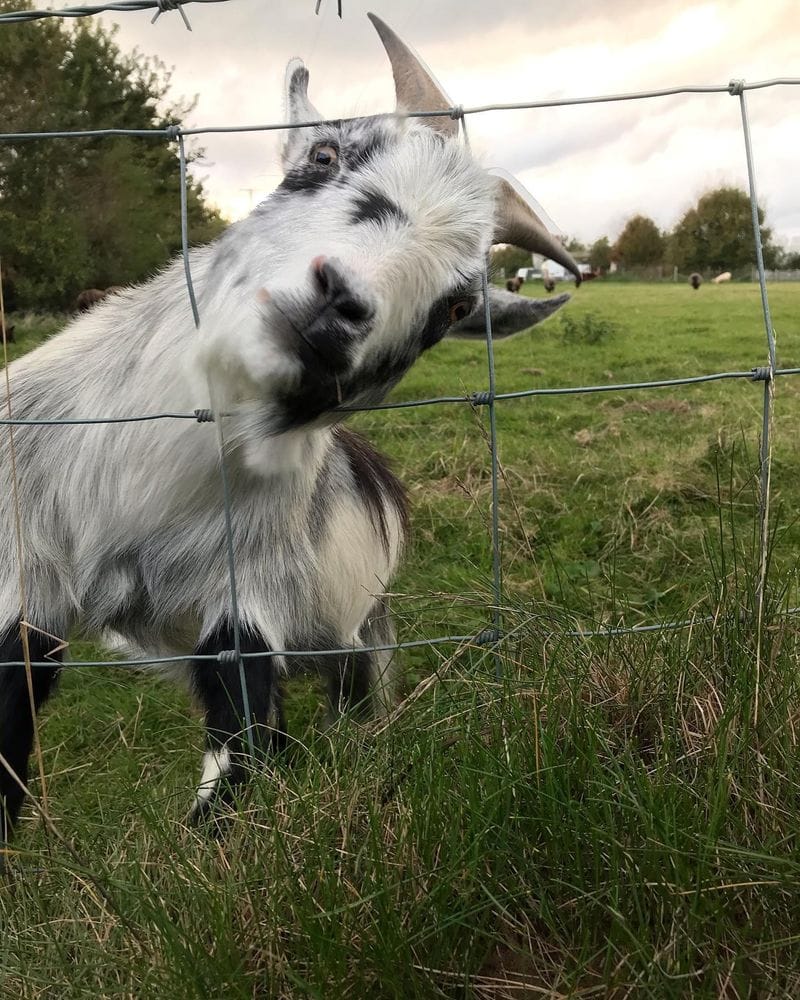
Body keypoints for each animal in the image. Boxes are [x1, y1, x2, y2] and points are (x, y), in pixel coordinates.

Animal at [0, 13, 580, 841]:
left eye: (456, 306)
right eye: (325, 154)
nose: (338, 306)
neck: (134, 501)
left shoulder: (251, 590)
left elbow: (244, 754)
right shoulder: (23, 570)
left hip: (361, 630)